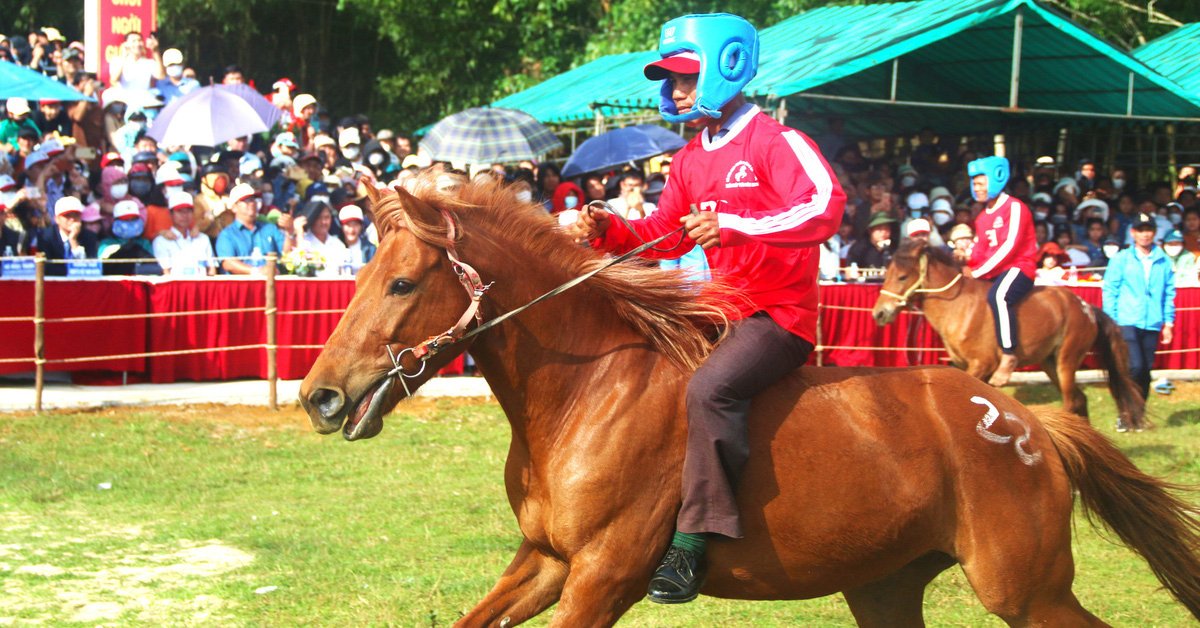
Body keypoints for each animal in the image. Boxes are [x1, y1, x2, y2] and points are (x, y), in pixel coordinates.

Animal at [873, 240, 1142, 427]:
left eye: (902, 276)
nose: (879, 313)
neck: (958, 305)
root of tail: (1085, 306)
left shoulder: (980, 365)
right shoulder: (961, 367)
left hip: (1067, 360)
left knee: (1070, 402)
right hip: (1050, 363)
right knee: (1080, 399)